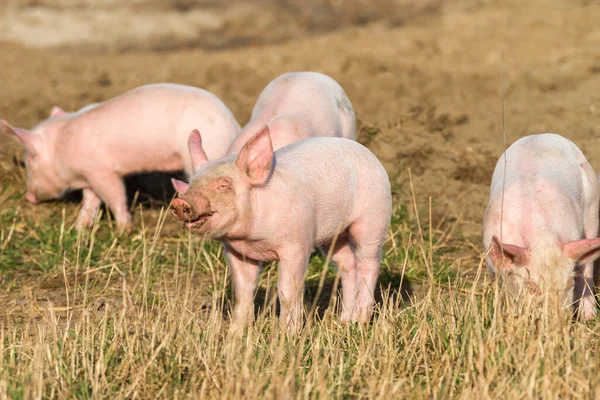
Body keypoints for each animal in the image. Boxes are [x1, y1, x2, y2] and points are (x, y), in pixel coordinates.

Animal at [2, 85, 241, 234]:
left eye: (29, 161)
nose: (28, 197)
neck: (62, 147)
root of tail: (233, 125)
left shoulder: (103, 171)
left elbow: (115, 195)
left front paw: (123, 231)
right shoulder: (90, 179)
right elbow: (90, 202)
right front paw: (78, 228)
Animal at [171, 126, 392, 330]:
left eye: (224, 185)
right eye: (191, 184)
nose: (180, 203)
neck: (251, 239)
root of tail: (370, 155)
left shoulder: (297, 245)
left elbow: (287, 290)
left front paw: (286, 334)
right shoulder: (237, 252)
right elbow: (243, 289)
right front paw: (236, 333)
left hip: (373, 219)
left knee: (369, 263)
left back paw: (360, 322)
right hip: (333, 237)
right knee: (348, 265)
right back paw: (344, 322)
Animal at [480, 133, 600, 320]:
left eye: (569, 283)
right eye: (532, 287)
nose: (558, 321)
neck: (540, 234)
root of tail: (540, 135)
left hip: (592, 205)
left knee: (587, 267)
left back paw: (588, 316)